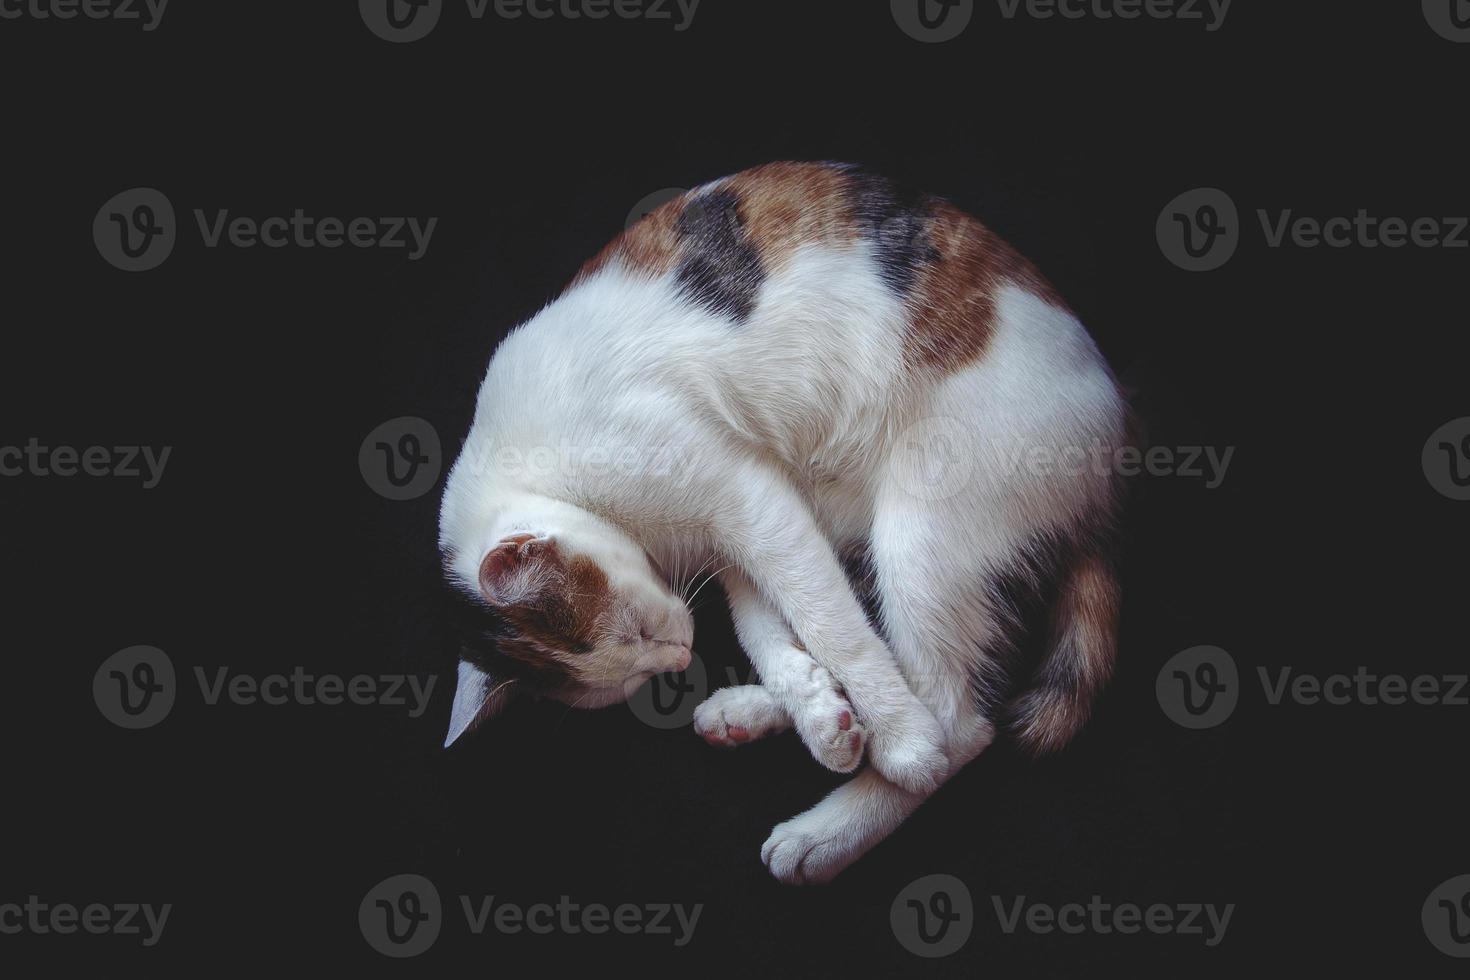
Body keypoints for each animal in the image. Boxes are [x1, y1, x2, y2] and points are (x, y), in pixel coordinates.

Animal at [435, 159, 1123, 881]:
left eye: (642, 631)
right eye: (636, 673)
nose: (681, 653)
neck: (532, 474)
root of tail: (1108, 473)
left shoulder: (747, 496)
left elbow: (828, 622)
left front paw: (901, 739)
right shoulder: (741, 536)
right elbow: (767, 628)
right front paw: (819, 712)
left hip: (922, 530)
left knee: (958, 722)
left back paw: (836, 822)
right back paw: (765, 717)